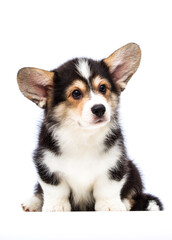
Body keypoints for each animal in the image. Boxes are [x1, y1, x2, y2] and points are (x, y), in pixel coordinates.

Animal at [17, 43, 163, 212]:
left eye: (103, 88)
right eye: (76, 93)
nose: (100, 109)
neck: (83, 135)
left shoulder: (115, 163)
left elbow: (107, 188)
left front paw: (110, 206)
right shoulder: (46, 163)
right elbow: (55, 189)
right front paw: (56, 206)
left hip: (132, 169)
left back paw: (125, 203)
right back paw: (32, 202)